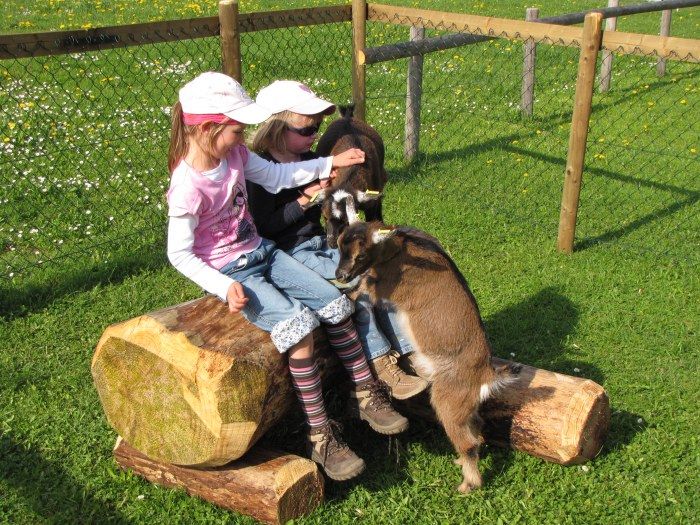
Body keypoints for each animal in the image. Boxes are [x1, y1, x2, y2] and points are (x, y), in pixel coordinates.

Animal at [334, 220, 520, 493]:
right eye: (338, 245)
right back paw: (460, 463)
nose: (340, 275)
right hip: (465, 408)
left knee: (468, 443)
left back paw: (468, 485)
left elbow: (365, 286)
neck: (400, 250)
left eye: (361, 254)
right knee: (476, 429)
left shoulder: (385, 288)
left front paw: (345, 294)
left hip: (448, 402)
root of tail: (486, 374)